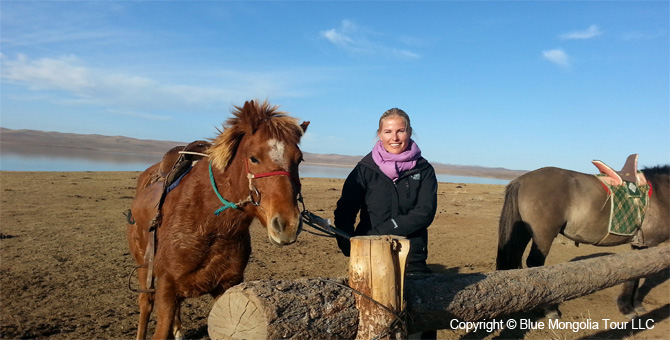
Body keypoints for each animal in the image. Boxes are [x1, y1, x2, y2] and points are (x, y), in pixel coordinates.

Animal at [126, 99, 310, 338]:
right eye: (254, 158)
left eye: (299, 159)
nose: (287, 225)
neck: (210, 225)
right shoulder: (166, 288)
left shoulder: (227, 286)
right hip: (143, 265)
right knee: (145, 303)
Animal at [496, 165, 668, 318]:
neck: (660, 194)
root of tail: (522, 180)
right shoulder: (649, 244)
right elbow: (641, 273)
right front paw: (629, 307)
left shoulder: (640, 245)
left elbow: (637, 273)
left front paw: (632, 305)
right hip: (543, 235)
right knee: (535, 263)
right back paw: (549, 309)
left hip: (523, 232)